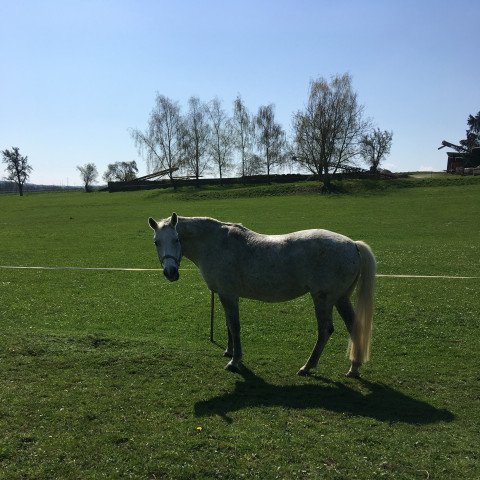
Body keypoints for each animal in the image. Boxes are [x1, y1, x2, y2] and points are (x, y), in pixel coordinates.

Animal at [147, 212, 376, 376]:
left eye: (177, 239)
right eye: (156, 242)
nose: (170, 272)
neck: (216, 243)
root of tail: (353, 245)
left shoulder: (229, 295)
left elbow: (235, 327)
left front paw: (235, 361)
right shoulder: (225, 295)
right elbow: (228, 325)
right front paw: (229, 351)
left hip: (323, 299)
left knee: (325, 330)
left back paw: (308, 367)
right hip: (341, 298)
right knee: (353, 326)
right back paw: (354, 368)